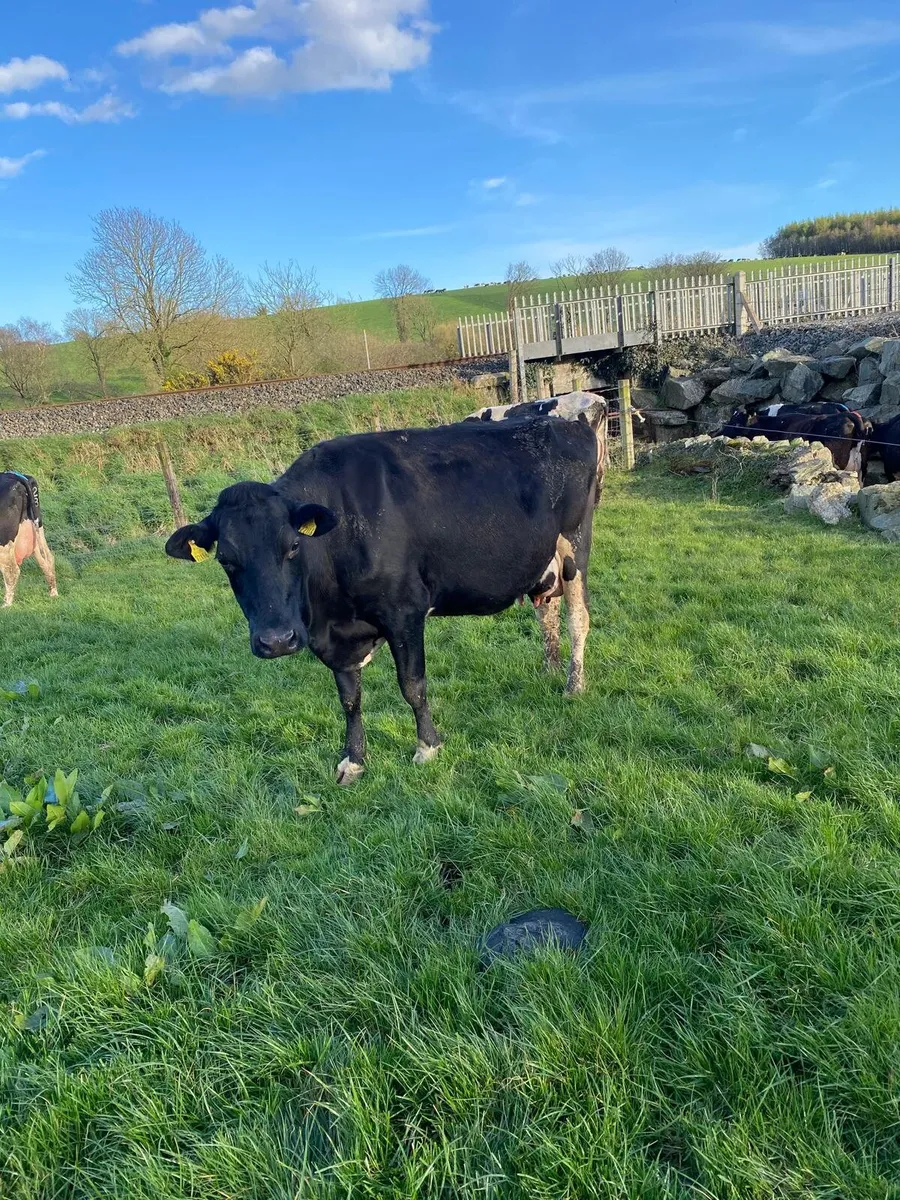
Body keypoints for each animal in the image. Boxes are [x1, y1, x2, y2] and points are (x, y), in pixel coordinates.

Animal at [0, 472, 58, 608]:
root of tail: (14, 476)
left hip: (4, 541)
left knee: (12, 570)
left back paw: (6, 605)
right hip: (36, 530)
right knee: (48, 559)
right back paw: (53, 593)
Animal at [165, 416, 600, 784]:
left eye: (293, 547)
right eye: (226, 559)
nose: (276, 641)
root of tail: (566, 422)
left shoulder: (404, 611)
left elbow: (412, 685)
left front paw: (428, 747)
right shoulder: (338, 637)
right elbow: (349, 698)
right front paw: (354, 760)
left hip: (574, 548)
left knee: (578, 619)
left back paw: (573, 685)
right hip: (542, 563)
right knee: (547, 613)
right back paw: (549, 670)